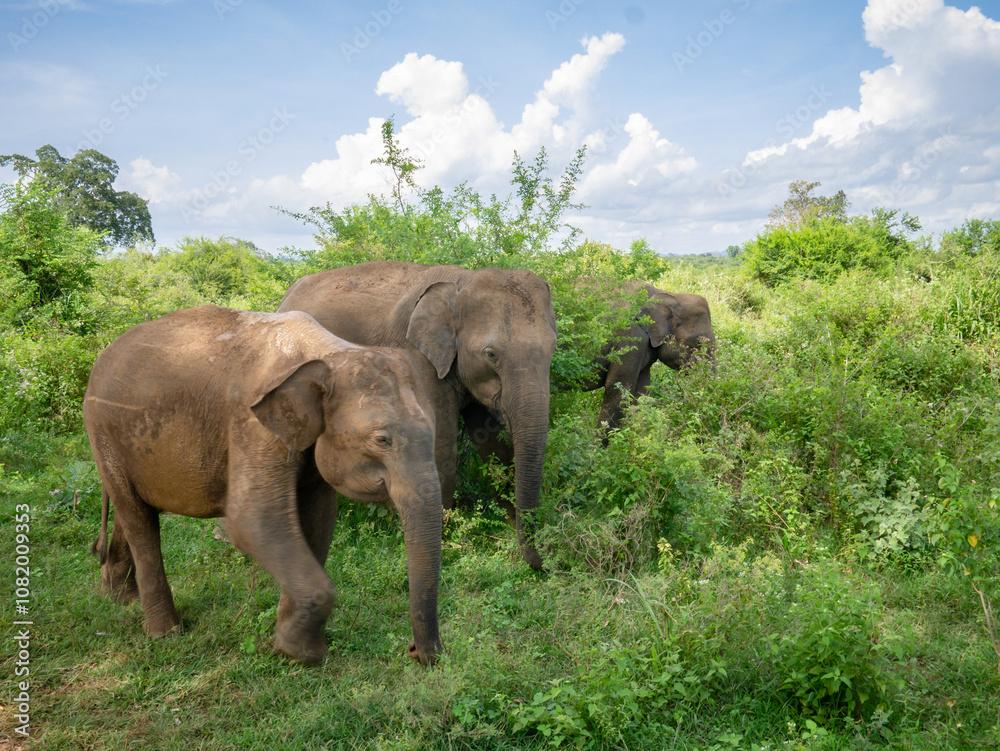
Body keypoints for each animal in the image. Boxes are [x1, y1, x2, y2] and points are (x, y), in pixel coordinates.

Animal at [84, 304, 442, 666]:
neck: (330, 352)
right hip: (101, 430)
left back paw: (120, 598)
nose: (415, 651)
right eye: (382, 440)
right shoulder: (251, 425)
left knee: (135, 510)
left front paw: (290, 645)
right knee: (139, 520)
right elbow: (253, 523)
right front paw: (304, 653)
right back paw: (165, 632)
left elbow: (319, 520)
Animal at [277, 261, 558, 571]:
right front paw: (446, 545)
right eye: (491, 354)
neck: (462, 281)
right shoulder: (416, 358)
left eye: (553, 347)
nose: (545, 562)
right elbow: (441, 448)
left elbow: (492, 446)